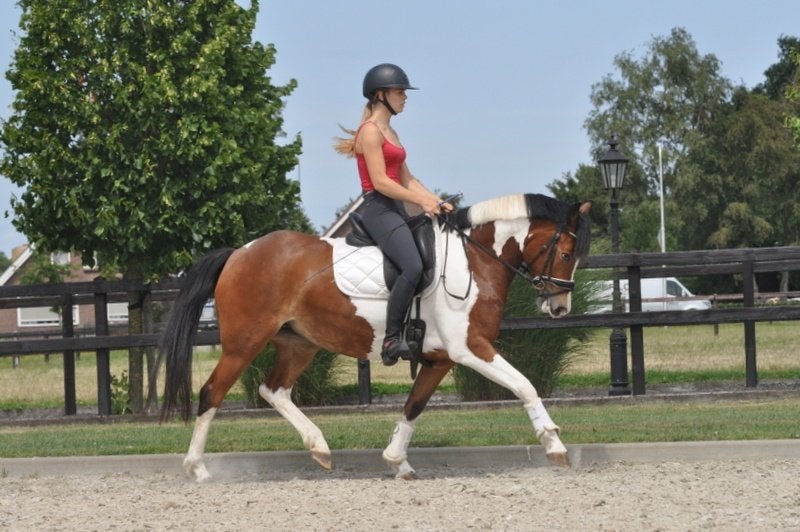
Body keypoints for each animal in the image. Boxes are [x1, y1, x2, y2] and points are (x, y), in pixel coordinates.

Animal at [157, 193, 592, 482]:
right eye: (567, 253)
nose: (559, 307)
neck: (474, 260)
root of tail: (238, 253)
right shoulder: (471, 348)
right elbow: (525, 385)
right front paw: (555, 446)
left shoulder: (440, 358)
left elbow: (414, 406)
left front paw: (397, 460)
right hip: (244, 342)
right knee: (212, 393)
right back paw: (197, 468)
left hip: (300, 343)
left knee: (274, 390)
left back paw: (319, 447)